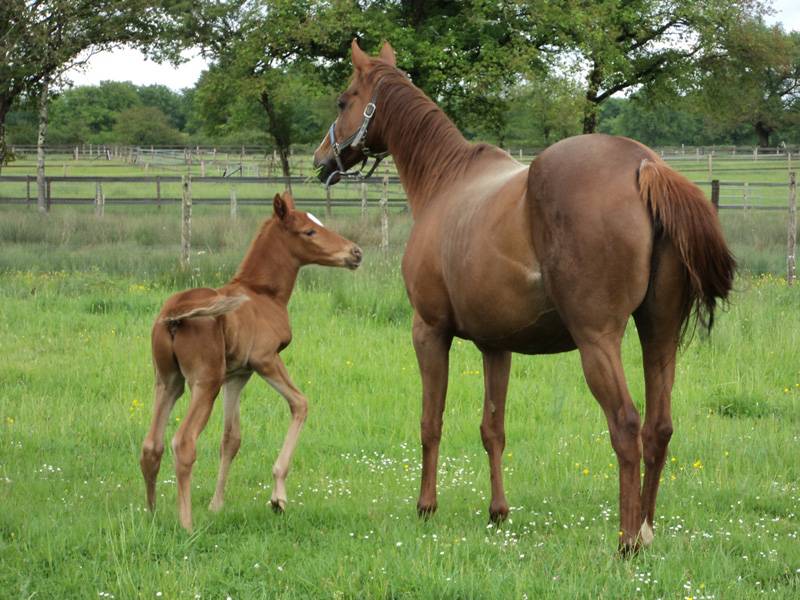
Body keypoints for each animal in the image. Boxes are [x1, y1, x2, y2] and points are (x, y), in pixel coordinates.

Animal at [139, 191, 363, 531]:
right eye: (309, 231)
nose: (355, 253)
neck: (263, 293)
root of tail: (175, 314)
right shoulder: (265, 360)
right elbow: (300, 403)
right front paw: (278, 498)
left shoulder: (237, 375)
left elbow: (231, 438)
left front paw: (216, 505)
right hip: (204, 382)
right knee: (184, 442)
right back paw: (187, 524)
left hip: (168, 381)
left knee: (152, 444)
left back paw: (152, 515)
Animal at [313, 40, 735, 553]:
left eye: (343, 101)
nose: (320, 159)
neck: (445, 182)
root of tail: (644, 166)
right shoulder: (497, 346)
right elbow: (492, 428)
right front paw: (498, 512)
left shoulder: (428, 331)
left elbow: (431, 422)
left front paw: (426, 506)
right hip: (658, 333)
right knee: (659, 427)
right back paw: (646, 530)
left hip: (598, 341)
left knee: (626, 425)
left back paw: (627, 540)